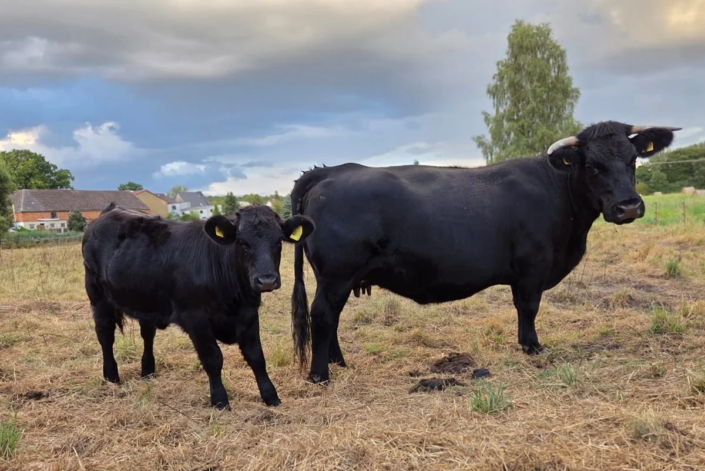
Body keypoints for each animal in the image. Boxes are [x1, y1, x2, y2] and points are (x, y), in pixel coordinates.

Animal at [82, 203, 315, 409]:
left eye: (278, 241)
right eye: (242, 243)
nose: (266, 280)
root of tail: (109, 211)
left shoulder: (248, 314)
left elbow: (256, 356)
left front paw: (270, 396)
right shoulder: (195, 318)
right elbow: (213, 358)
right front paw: (220, 400)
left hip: (145, 300)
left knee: (147, 334)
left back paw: (148, 371)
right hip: (97, 296)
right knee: (105, 335)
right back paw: (111, 376)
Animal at [289, 121, 681, 384]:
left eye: (632, 160)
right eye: (592, 165)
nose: (628, 207)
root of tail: (329, 171)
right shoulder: (533, 267)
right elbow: (528, 308)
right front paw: (533, 347)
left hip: (336, 277)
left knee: (332, 317)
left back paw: (338, 362)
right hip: (337, 274)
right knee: (322, 315)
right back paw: (321, 374)